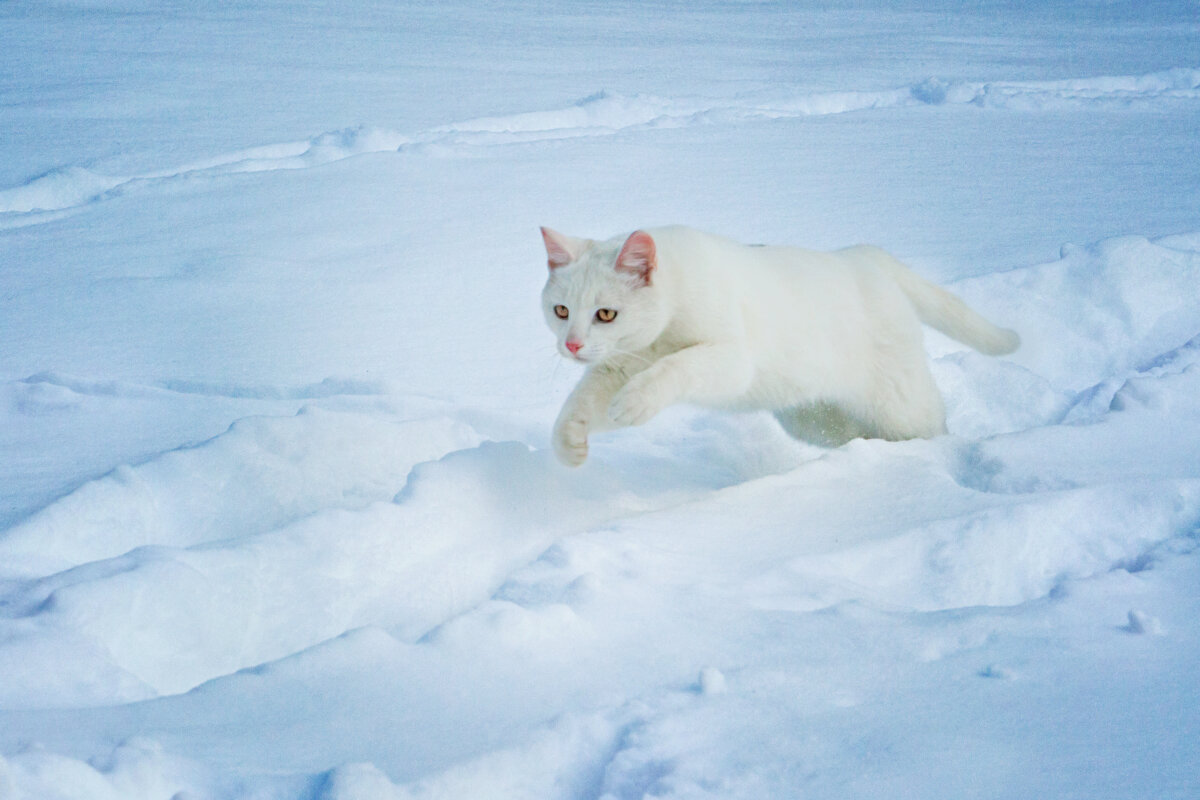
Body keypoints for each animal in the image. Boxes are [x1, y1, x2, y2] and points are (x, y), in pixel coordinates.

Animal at [540, 225, 1017, 465]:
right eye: (561, 310)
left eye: (606, 314)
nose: (573, 346)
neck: (657, 339)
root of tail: (862, 255)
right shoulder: (614, 367)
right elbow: (579, 406)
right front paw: (569, 447)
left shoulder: (732, 360)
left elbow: (679, 367)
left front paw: (635, 402)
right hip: (814, 417)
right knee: (860, 434)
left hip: (901, 404)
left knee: (932, 425)